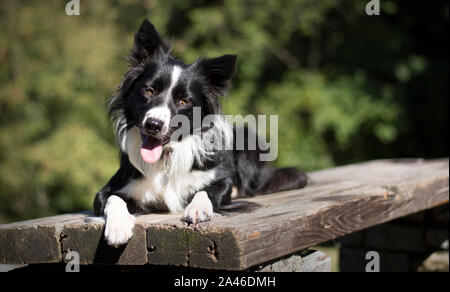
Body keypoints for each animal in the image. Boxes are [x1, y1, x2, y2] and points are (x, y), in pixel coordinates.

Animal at [93, 20, 308, 246]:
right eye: (149, 91)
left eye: (183, 101)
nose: (153, 124)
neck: (167, 155)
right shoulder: (110, 188)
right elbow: (113, 198)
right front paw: (118, 225)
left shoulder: (221, 180)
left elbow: (208, 189)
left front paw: (198, 208)